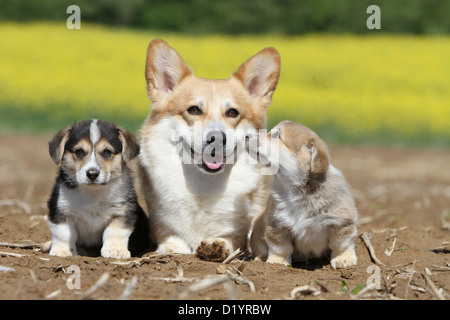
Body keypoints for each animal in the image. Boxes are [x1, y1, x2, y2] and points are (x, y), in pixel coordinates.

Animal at [46, 119, 151, 258]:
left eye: (107, 152)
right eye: (79, 151)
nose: (92, 174)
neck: (93, 192)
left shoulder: (122, 211)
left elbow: (115, 231)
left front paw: (115, 250)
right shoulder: (60, 209)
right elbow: (63, 232)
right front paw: (62, 250)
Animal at [137, 38, 280, 262]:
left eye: (232, 113)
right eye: (194, 110)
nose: (217, 139)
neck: (203, 183)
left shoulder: (238, 231)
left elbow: (232, 239)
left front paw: (216, 246)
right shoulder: (162, 224)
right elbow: (172, 238)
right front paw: (172, 250)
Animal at [246, 121, 358, 268]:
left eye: (277, 135)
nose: (246, 136)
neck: (298, 191)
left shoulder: (341, 222)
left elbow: (340, 244)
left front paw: (343, 260)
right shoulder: (277, 224)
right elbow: (280, 247)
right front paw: (277, 263)